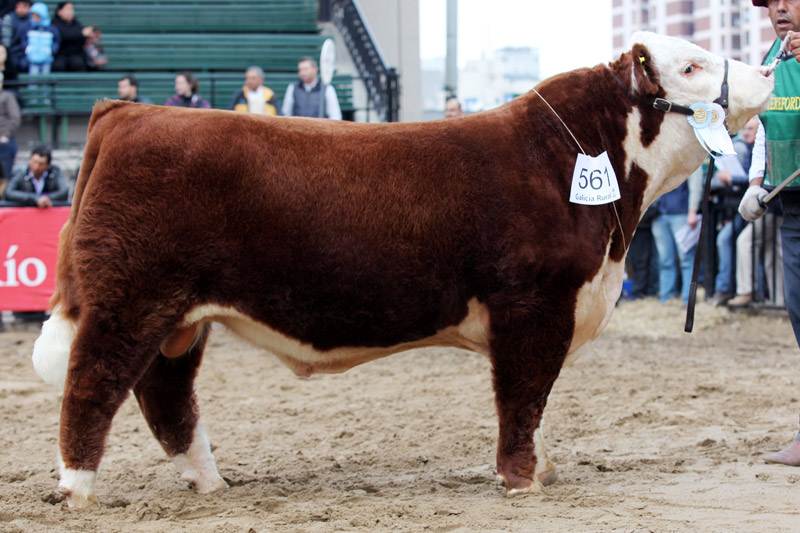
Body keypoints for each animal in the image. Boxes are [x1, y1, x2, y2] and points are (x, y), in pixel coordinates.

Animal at [32, 31, 776, 504]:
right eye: (690, 67)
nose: (769, 72)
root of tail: (128, 112)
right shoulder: (533, 305)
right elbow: (523, 398)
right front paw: (522, 479)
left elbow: (532, 402)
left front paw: (541, 470)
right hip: (130, 300)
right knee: (93, 382)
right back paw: (77, 490)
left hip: (180, 318)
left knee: (166, 394)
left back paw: (209, 482)